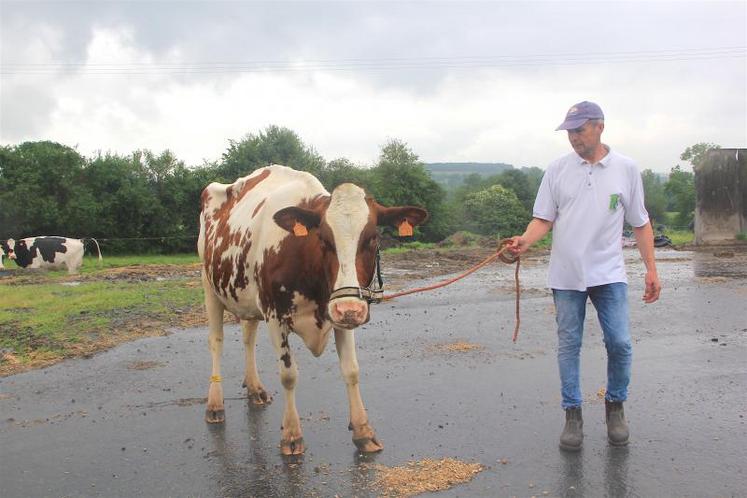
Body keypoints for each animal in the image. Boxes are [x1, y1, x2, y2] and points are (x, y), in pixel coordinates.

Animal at [199, 164, 430, 456]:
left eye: (373, 237)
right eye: (323, 239)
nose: (349, 310)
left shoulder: (339, 308)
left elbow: (351, 370)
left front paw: (363, 431)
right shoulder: (275, 315)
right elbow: (288, 375)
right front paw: (291, 434)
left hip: (247, 297)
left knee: (248, 336)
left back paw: (254, 389)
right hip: (209, 285)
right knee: (216, 342)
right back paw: (215, 404)